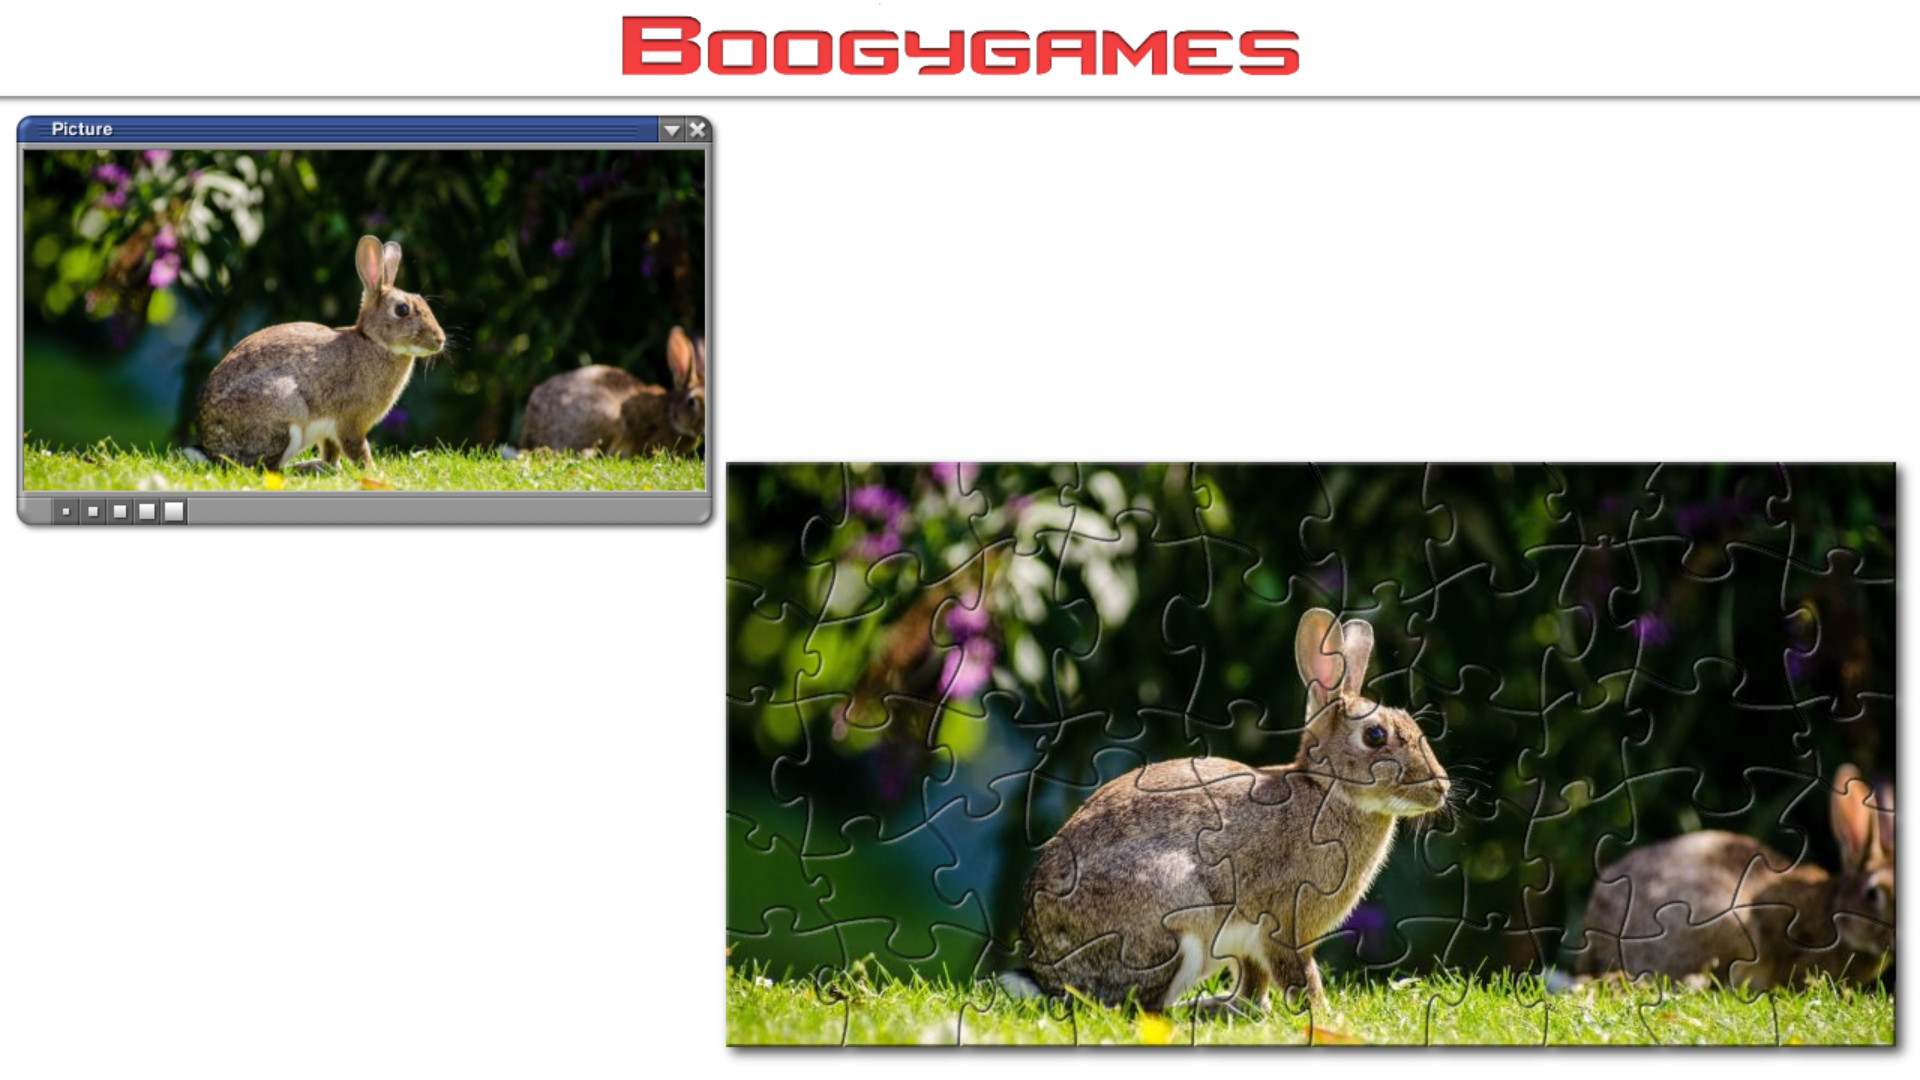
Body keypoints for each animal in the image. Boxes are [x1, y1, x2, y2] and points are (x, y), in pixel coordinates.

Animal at [190, 235, 445, 469]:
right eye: (402, 310)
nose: (440, 340)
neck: (374, 342)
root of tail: (211, 449)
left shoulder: (331, 431)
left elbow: (331, 450)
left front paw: (334, 468)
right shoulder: (350, 421)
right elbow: (357, 449)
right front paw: (373, 472)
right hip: (285, 413)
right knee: (266, 468)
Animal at [1002, 608, 1450, 1016]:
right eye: (1374, 735)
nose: (1441, 787)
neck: (1327, 792)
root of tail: (1048, 976)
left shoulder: (1254, 943)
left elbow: (1254, 978)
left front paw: (1252, 1008)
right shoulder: (1283, 925)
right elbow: (1299, 975)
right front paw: (1322, 1014)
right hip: (1175, 921)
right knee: (1140, 1007)